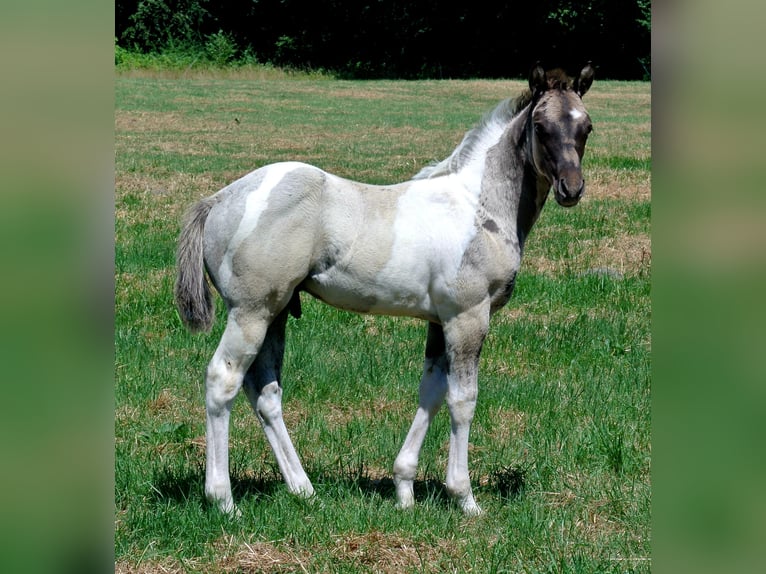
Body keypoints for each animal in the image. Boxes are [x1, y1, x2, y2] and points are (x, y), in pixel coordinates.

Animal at [175, 63, 595, 516]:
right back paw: (223, 500)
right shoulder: (468, 317)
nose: (571, 188)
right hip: (250, 311)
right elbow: (463, 400)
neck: (477, 206)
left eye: (586, 126)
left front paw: (404, 490)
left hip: (277, 312)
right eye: (540, 126)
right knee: (223, 380)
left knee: (265, 391)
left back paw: (304, 489)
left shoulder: (439, 321)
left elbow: (431, 390)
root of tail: (218, 200)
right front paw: (464, 497)